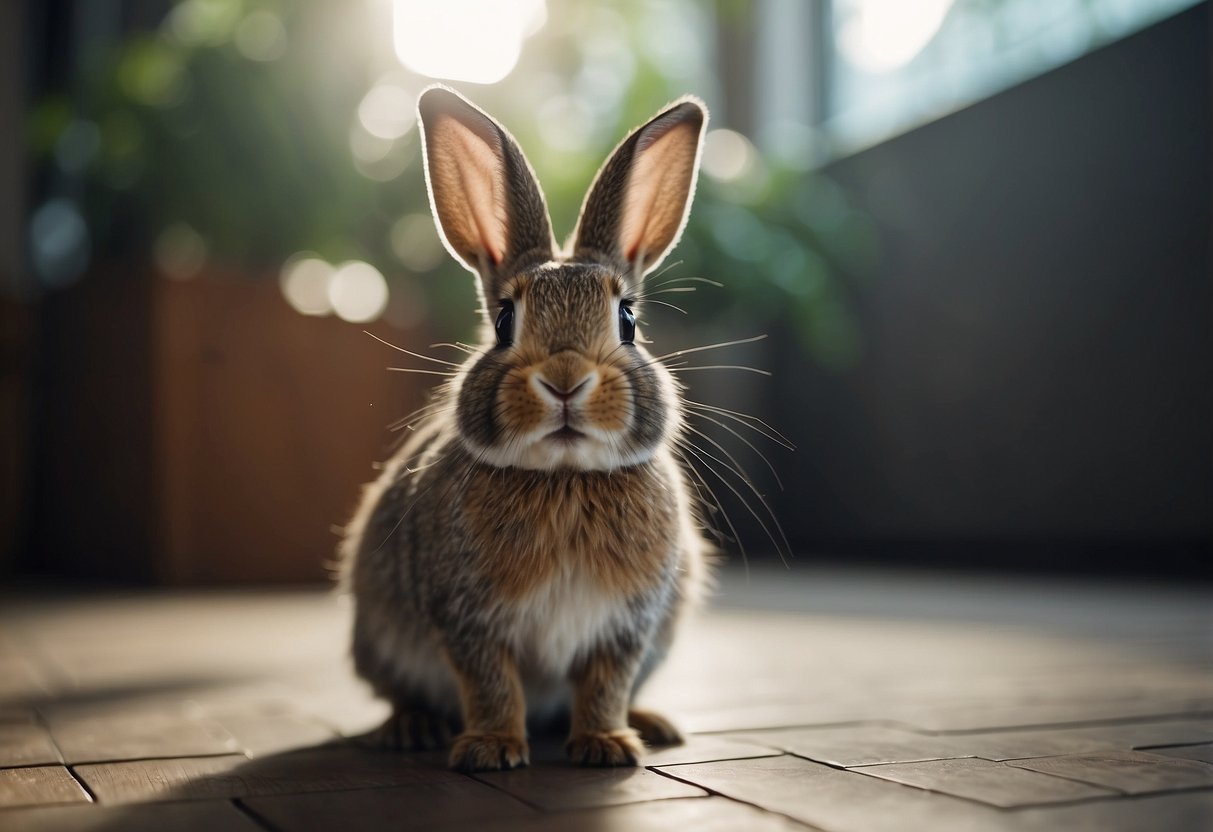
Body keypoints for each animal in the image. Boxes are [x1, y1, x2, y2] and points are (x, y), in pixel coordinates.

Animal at [342, 84, 708, 776]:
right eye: (505, 320)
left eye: (628, 321)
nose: (565, 380)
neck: (563, 479)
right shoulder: (468, 620)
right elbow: (491, 683)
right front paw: (490, 749)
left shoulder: (627, 628)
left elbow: (605, 685)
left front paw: (607, 745)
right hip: (378, 633)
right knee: (401, 691)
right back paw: (410, 729)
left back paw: (651, 724)